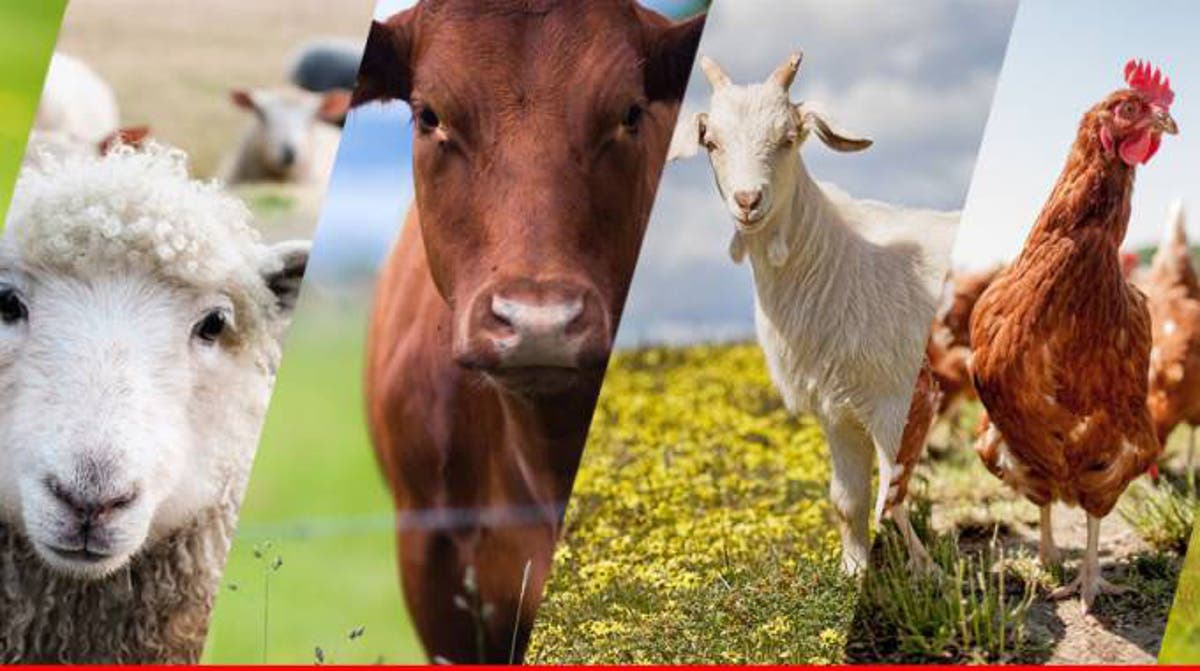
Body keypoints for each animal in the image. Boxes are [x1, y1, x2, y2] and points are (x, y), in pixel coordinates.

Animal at [672, 53, 957, 573]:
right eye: (711, 142)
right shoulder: (837, 409)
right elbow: (847, 500)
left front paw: (928, 574)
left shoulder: (893, 399)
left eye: (787, 138)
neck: (835, 256)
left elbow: (894, 494)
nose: (748, 201)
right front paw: (854, 572)